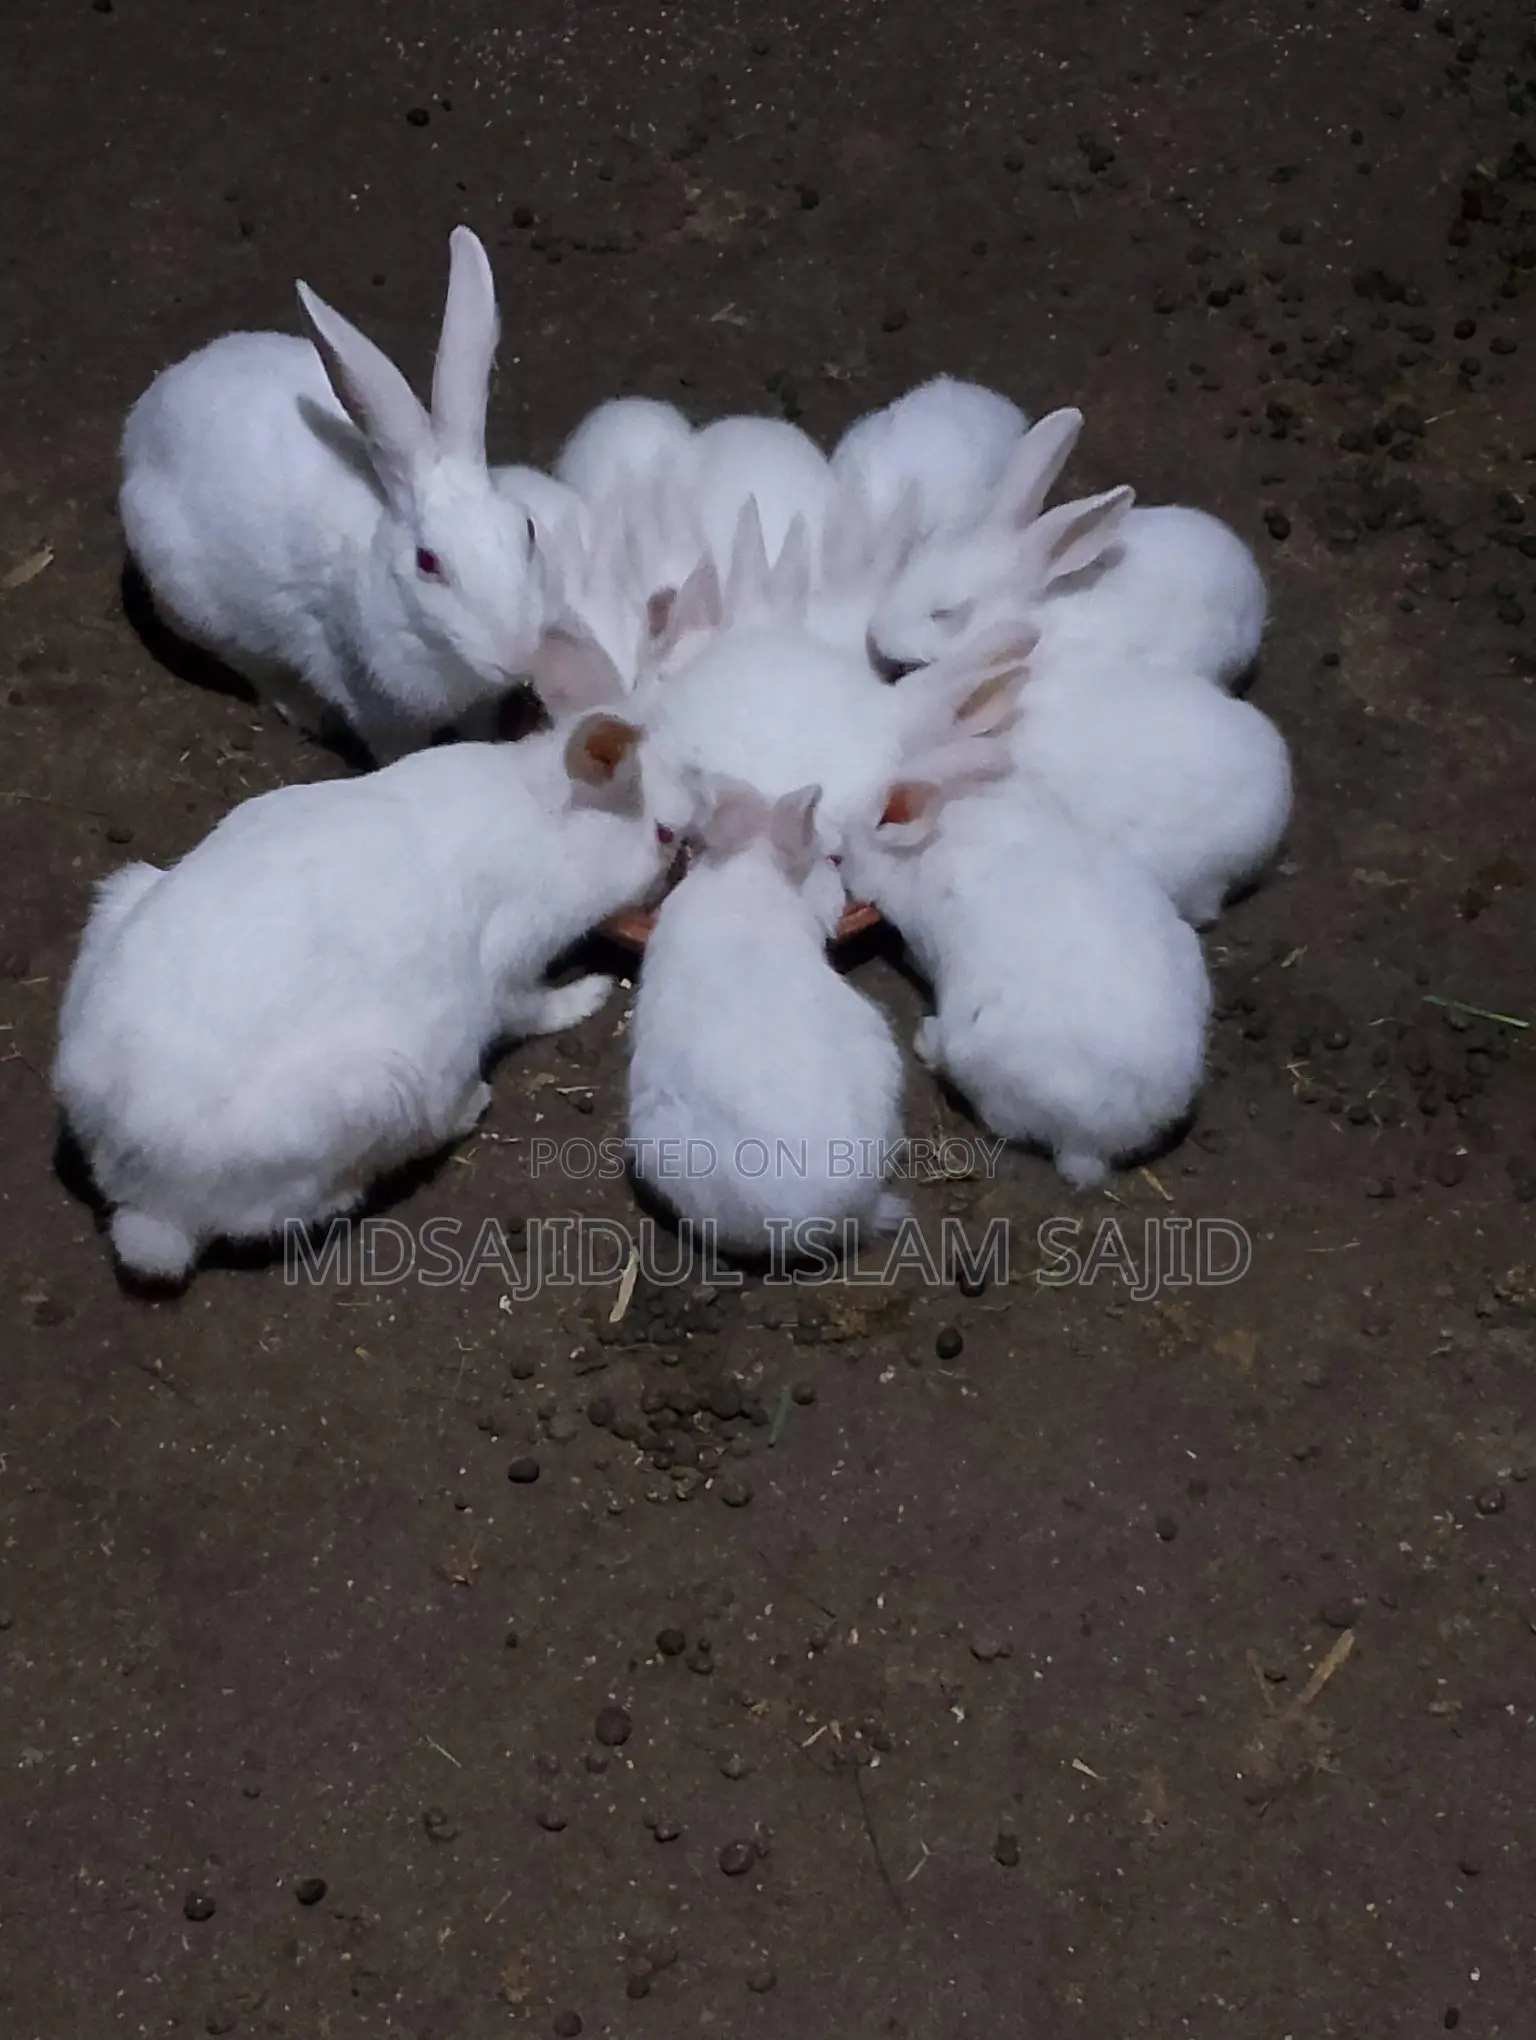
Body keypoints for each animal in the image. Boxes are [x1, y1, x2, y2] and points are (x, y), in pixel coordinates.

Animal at [54, 713, 680, 1286]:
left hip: (120, 899)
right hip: (384, 1088)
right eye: (664, 834)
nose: (668, 878)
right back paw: (468, 1107)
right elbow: (535, 1010)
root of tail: (144, 1195)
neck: (551, 826)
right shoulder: (508, 972)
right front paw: (591, 995)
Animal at [119, 227, 548, 765]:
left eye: (527, 529)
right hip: (198, 602)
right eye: (427, 562)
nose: (518, 655)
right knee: (256, 668)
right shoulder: (373, 706)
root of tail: (140, 423)